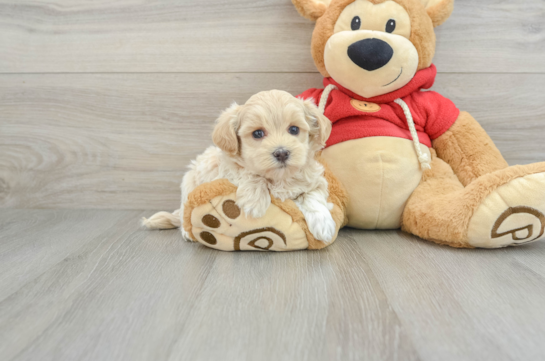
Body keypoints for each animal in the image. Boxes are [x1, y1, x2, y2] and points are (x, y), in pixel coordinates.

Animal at [141, 89, 336, 243]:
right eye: (257, 133)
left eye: (294, 129)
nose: (282, 153)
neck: (278, 178)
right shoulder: (228, 171)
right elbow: (248, 172)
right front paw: (255, 200)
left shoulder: (316, 181)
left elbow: (314, 196)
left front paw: (324, 225)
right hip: (189, 185)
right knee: (184, 214)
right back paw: (187, 233)